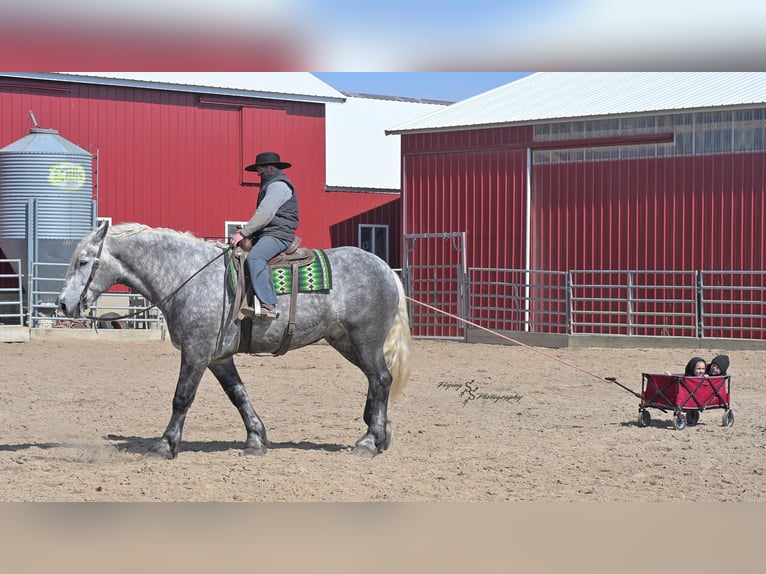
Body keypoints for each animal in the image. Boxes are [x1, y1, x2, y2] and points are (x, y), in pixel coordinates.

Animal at [56, 222, 411, 459]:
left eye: (83, 261)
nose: (62, 304)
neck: (189, 275)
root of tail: (385, 269)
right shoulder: (218, 357)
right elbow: (238, 395)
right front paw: (255, 439)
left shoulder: (196, 351)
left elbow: (181, 398)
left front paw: (164, 445)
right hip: (346, 341)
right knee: (376, 381)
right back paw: (380, 435)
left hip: (364, 339)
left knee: (381, 379)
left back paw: (369, 441)